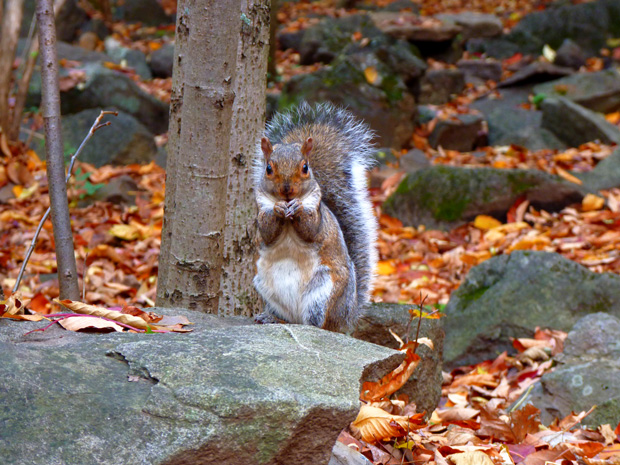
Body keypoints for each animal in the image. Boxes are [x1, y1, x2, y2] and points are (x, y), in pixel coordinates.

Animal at [252, 103, 378, 332]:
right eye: (268, 168)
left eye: (305, 167)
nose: (287, 190)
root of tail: (347, 319)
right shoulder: (261, 212)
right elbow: (266, 232)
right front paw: (278, 209)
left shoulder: (319, 217)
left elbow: (311, 229)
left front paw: (298, 208)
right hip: (266, 289)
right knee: (290, 318)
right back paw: (272, 318)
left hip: (323, 292)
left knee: (318, 324)